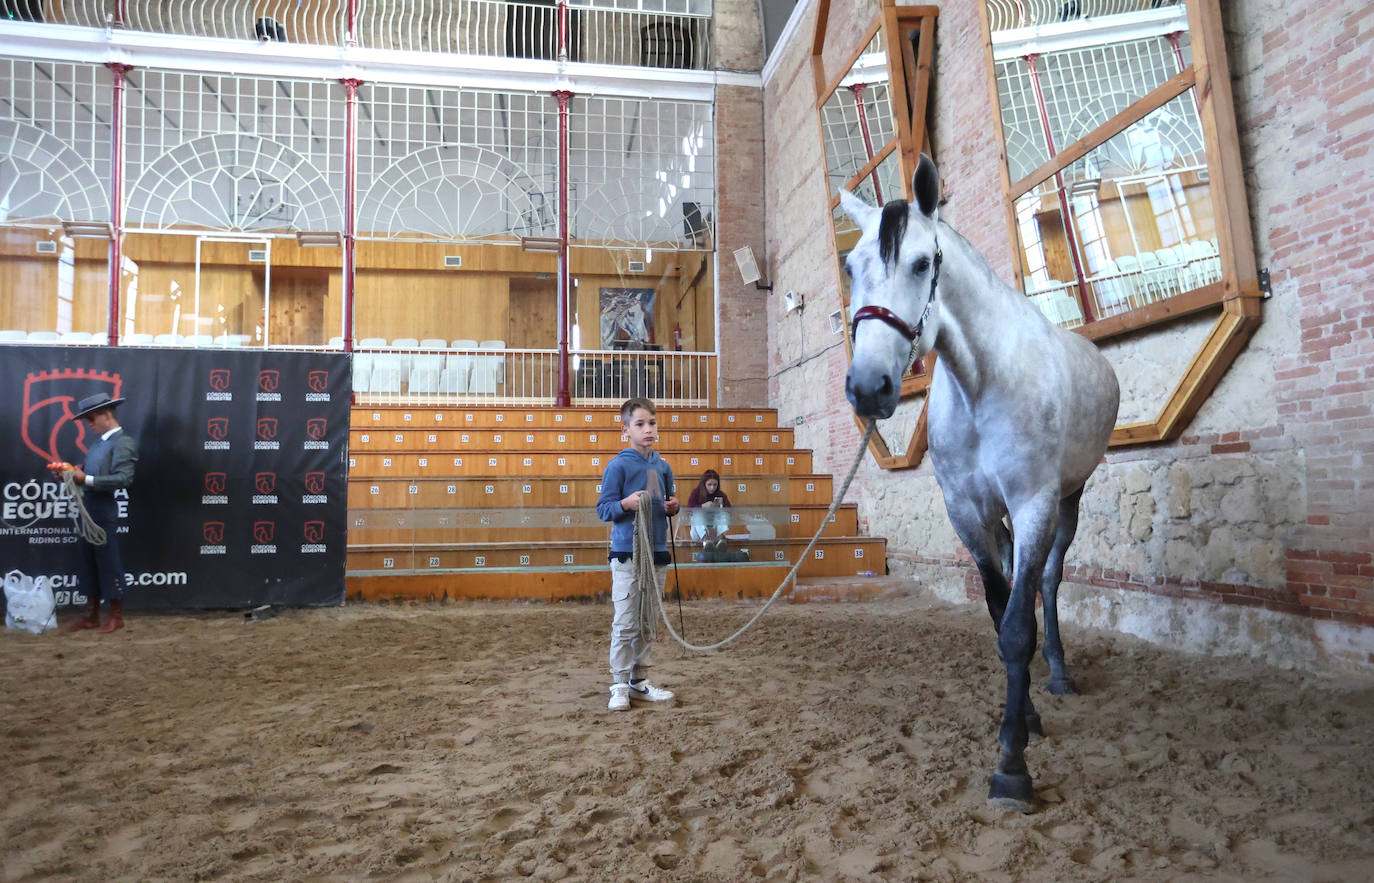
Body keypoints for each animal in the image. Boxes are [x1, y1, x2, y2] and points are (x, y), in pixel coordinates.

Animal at [835, 155, 1115, 812]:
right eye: (851, 266)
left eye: (921, 263)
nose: (868, 387)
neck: (982, 381)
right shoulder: (967, 513)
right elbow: (997, 611)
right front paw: (1024, 722)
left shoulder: (1034, 502)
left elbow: (1017, 628)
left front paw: (1012, 764)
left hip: (1068, 502)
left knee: (1048, 582)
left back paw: (1058, 673)